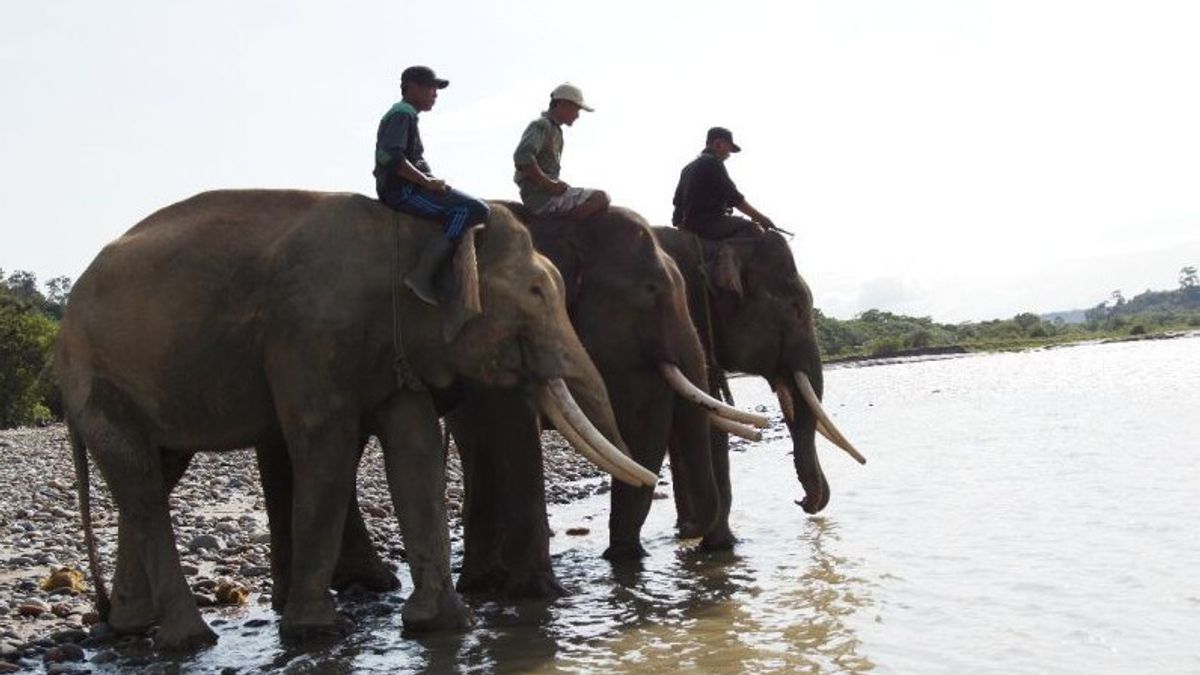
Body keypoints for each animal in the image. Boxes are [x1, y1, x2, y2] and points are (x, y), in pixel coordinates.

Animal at [56, 187, 657, 648]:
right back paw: (191, 639)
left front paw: (444, 626)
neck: (411, 229)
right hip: (97, 377)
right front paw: (319, 632)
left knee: (155, 474)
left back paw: (131, 626)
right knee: (142, 485)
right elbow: (327, 447)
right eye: (535, 293)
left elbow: (415, 448)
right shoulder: (308, 333)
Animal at [652, 225, 868, 547]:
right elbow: (709, 418)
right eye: (796, 309)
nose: (802, 502)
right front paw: (720, 545)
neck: (710, 245)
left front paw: (698, 538)